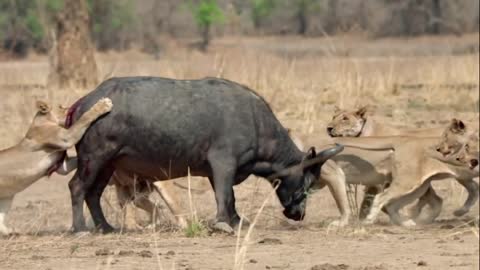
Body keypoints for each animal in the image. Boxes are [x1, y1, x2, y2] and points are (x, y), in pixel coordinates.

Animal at [67, 77, 344, 233]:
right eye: (308, 182)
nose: (299, 213)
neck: (256, 123)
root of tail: (83, 101)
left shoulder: (216, 171)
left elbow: (230, 198)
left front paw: (236, 221)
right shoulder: (223, 164)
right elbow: (224, 195)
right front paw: (222, 223)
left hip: (107, 165)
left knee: (93, 193)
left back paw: (105, 227)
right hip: (94, 158)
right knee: (77, 187)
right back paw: (80, 228)